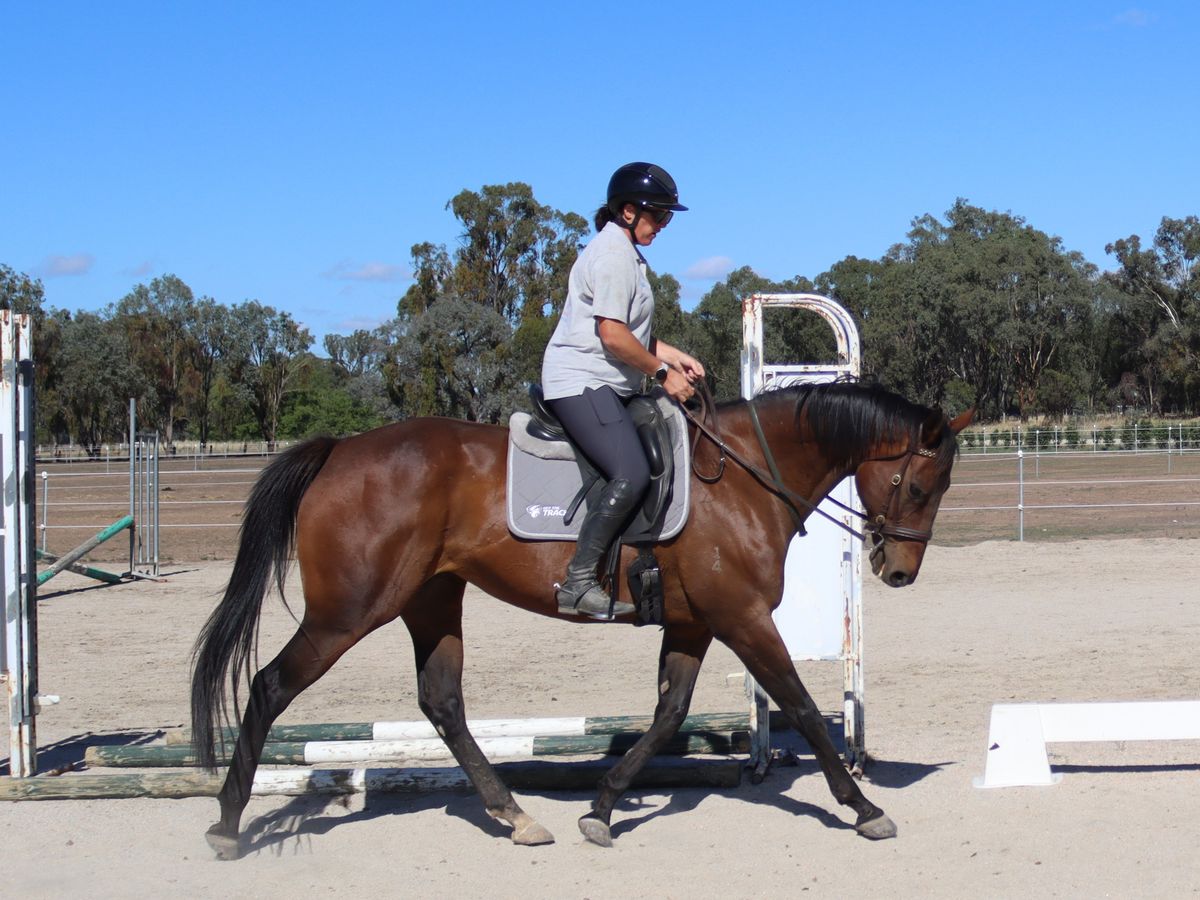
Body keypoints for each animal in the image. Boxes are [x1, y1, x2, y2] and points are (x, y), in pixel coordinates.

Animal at [191, 381, 973, 859]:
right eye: (921, 485)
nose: (899, 572)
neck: (744, 477)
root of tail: (341, 450)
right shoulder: (744, 618)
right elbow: (803, 707)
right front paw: (863, 807)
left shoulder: (695, 623)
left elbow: (668, 713)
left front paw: (600, 807)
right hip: (350, 611)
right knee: (270, 686)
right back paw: (227, 823)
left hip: (432, 599)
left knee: (441, 702)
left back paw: (515, 815)